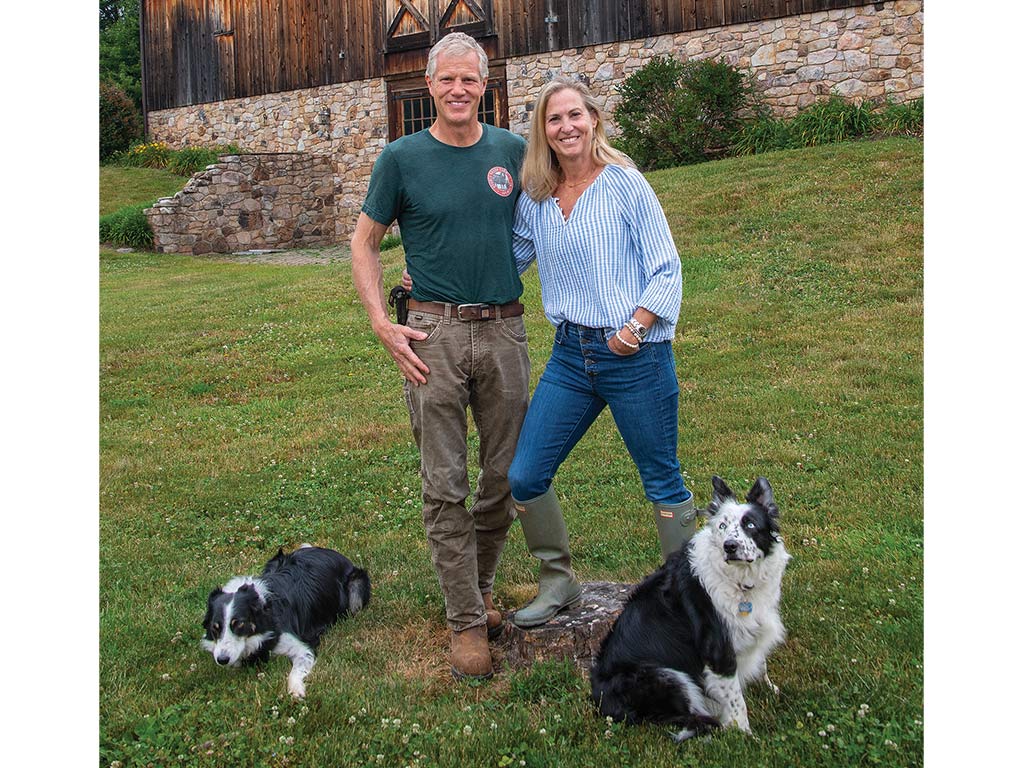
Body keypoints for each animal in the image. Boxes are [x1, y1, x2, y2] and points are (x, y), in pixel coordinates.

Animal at [198, 544, 368, 700]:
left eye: (239, 624)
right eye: (215, 628)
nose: (222, 660)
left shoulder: (303, 648)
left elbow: (295, 671)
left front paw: (296, 690)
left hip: (356, 587)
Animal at [593, 479, 790, 741]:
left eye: (750, 524)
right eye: (722, 525)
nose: (730, 546)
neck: (739, 580)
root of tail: (599, 700)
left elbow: (761, 664)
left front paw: (769, 689)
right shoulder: (718, 649)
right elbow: (737, 702)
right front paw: (746, 737)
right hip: (665, 676)